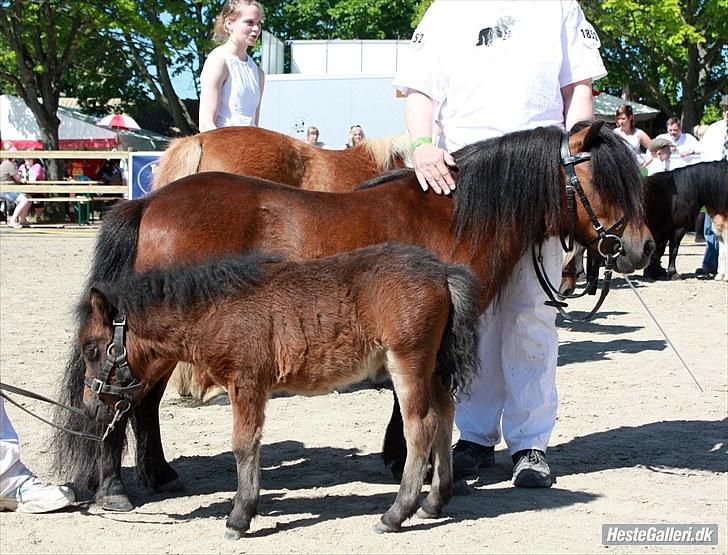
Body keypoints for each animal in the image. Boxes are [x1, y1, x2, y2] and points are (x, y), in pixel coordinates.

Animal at [79, 244, 480, 540]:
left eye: (92, 349)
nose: (89, 406)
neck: (217, 310)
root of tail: (442, 272)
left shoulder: (246, 383)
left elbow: (244, 445)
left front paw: (239, 518)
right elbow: (252, 445)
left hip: (408, 363)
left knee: (421, 428)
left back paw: (395, 514)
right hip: (433, 369)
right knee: (445, 417)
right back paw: (433, 502)